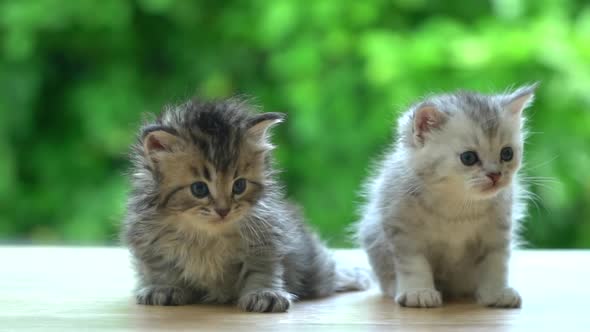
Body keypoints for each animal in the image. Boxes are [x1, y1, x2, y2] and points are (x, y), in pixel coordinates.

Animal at [122, 96, 368, 312]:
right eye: (199, 189)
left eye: (239, 186)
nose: (223, 210)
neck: (206, 234)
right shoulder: (148, 238)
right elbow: (161, 268)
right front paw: (164, 287)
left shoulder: (267, 236)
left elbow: (261, 270)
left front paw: (265, 294)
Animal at [358, 84, 540, 308]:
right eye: (468, 158)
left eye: (507, 154)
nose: (495, 175)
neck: (458, 203)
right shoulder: (402, 228)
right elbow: (413, 264)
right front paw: (419, 292)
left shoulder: (498, 230)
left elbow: (496, 262)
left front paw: (496, 293)